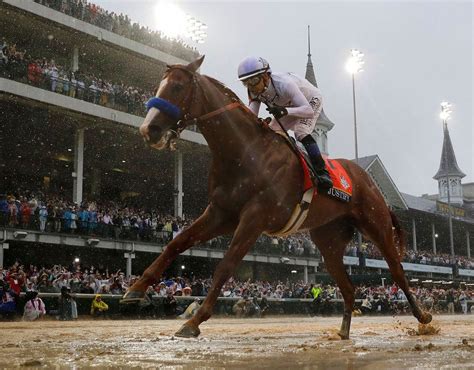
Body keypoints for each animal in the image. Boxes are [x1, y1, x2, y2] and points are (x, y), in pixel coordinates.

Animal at [121, 55, 430, 338]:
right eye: (158, 86)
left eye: (177, 86)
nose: (148, 130)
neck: (246, 152)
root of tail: (367, 179)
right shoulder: (220, 213)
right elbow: (176, 243)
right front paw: (135, 288)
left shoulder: (254, 217)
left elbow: (225, 265)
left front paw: (194, 321)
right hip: (329, 241)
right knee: (349, 286)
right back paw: (343, 331)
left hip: (377, 227)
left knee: (397, 271)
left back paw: (423, 317)